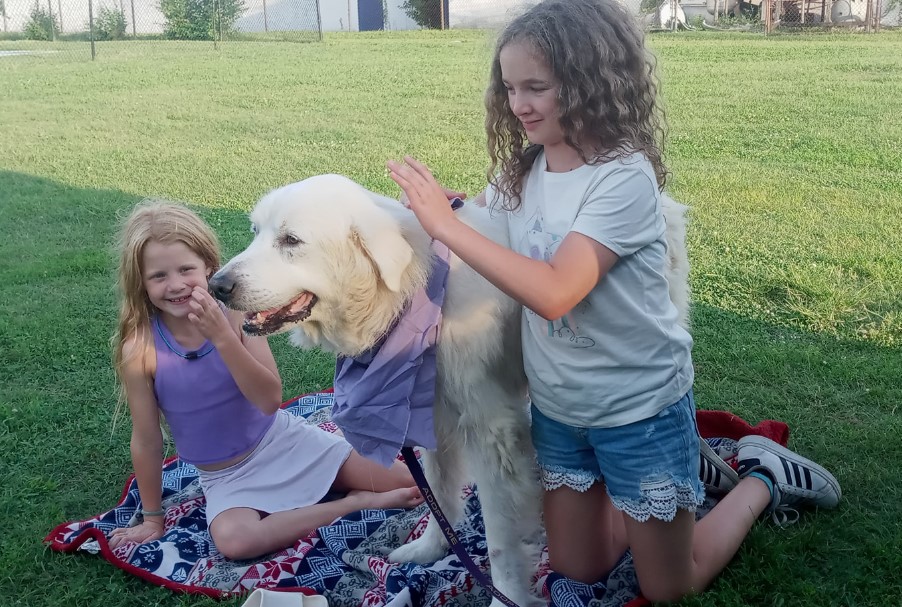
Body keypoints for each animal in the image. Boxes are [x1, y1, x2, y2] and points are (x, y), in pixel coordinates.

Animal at [212, 173, 692, 604]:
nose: (217, 285)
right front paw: (429, 551)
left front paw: (505, 595)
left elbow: (499, 539)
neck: (413, 290)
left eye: (291, 240)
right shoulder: (434, 416)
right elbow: (438, 494)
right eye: (256, 232)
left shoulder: (493, 433)